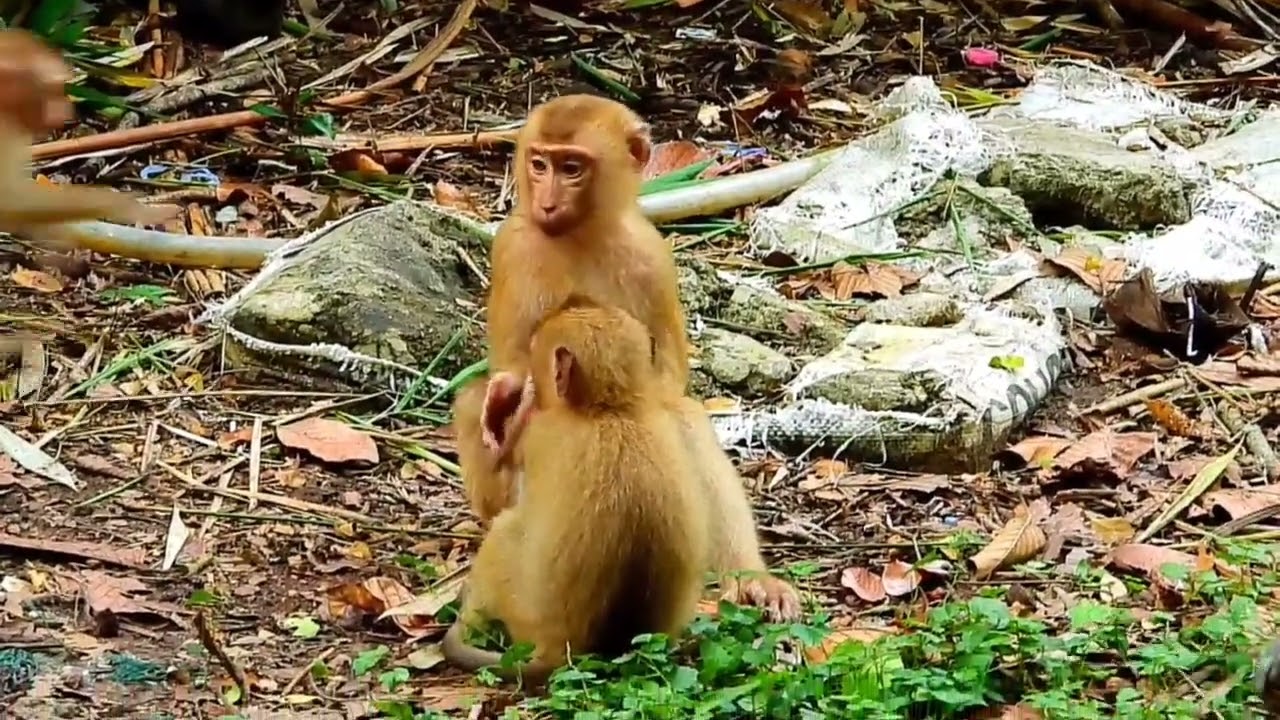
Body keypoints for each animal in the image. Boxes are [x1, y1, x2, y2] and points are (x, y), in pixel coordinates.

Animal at [442, 301, 709, 684]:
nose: (531, 382)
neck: (610, 410)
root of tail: (563, 651)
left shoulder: (542, 435)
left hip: (522, 613)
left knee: (504, 531)